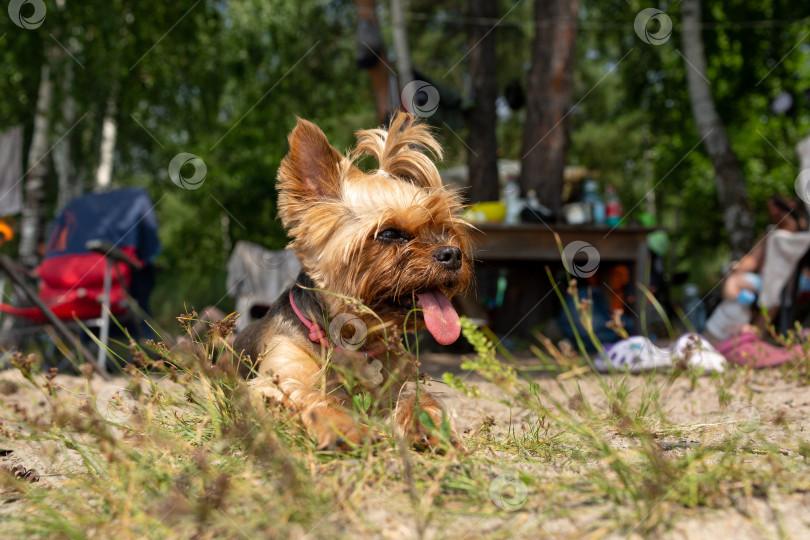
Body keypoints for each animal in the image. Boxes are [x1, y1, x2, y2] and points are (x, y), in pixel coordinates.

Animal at [232, 112, 474, 450]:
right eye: (389, 233)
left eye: (445, 229)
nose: (452, 254)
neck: (353, 338)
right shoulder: (275, 378)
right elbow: (305, 395)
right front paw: (342, 426)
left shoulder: (395, 385)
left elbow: (414, 397)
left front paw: (428, 423)